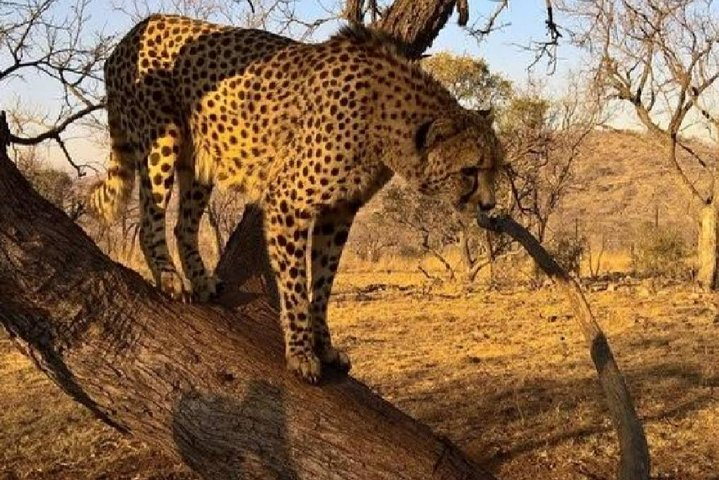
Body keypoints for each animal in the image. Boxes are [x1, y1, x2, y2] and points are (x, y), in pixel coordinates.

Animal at [90, 14, 504, 382]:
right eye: (470, 171)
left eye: (496, 168)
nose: (488, 205)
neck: (387, 122)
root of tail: (129, 36)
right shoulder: (288, 202)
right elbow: (295, 286)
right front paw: (302, 353)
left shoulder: (340, 211)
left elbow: (323, 283)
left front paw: (325, 346)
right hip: (161, 141)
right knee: (149, 219)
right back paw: (168, 278)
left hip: (201, 160)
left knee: (183, 226)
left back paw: (201, 280)